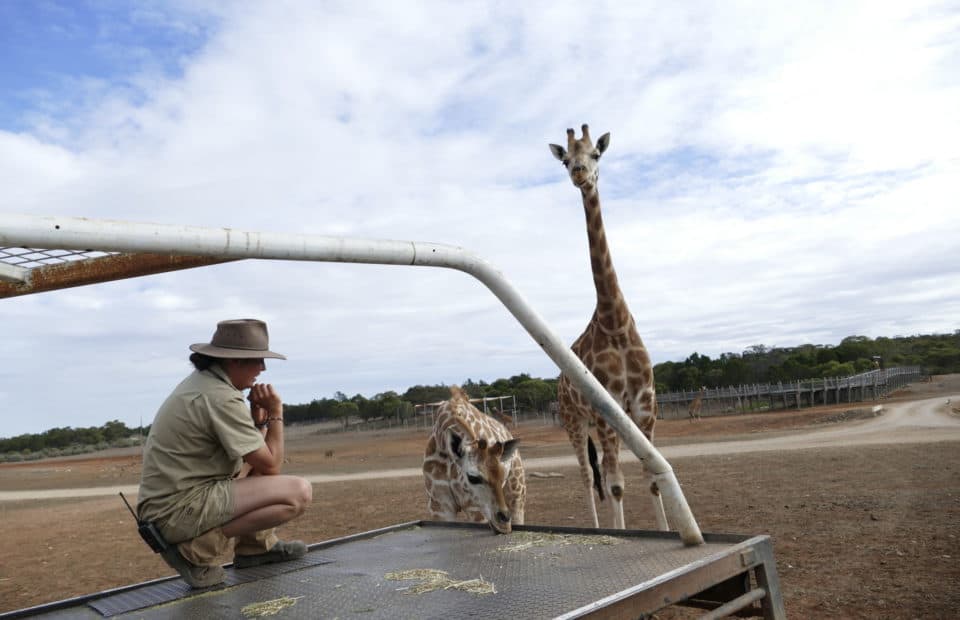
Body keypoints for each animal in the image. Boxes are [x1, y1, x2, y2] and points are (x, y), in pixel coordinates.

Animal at [422, 386, 526, 534]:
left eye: (503, 475)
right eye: (473, 477)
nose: (505, 523)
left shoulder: (474, 506)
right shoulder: (439, 505)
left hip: (517, 493)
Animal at [549, 124, 667, 531]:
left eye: (596, 154)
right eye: (566, 159)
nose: (579, 173)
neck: (613, 322)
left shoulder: (644, 405)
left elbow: (652, 478)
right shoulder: (604, 413)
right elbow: (615, 485)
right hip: (574, 421)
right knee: (588, 477)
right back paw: (598, 529)